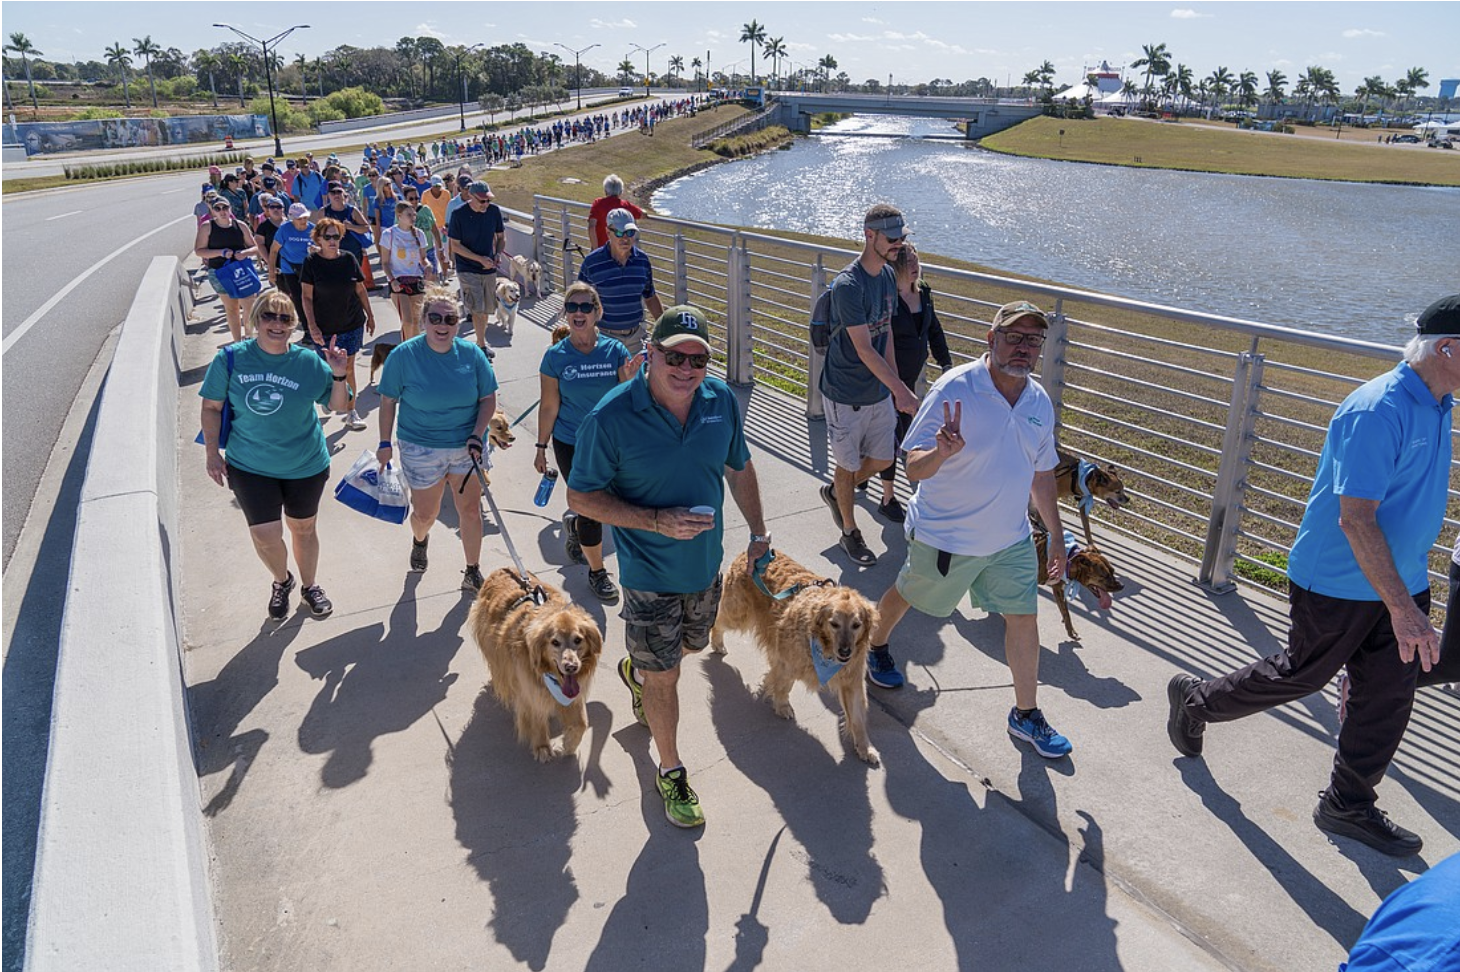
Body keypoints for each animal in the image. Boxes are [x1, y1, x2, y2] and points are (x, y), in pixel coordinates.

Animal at [470, 563, 601, 758]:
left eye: (578, 640)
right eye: (555, 642)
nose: (571, 667)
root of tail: (503, 568)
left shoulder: (574, 696)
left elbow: (581, 724)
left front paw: (569, 744)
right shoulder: (530, 692)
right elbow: (537, 718)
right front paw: (542, 747)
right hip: (493, 650)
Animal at [709, 551, 876, 764]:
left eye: (856, 625)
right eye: (834, 624)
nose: (846, 651)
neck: (824, 648)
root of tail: (749, 553)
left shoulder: (852, 680)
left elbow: (857, 718)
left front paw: (865, 748)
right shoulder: (788, 663)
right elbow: (783, 686)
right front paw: (782, 706)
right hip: (738, 614)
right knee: (717, 621)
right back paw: (717, 642)